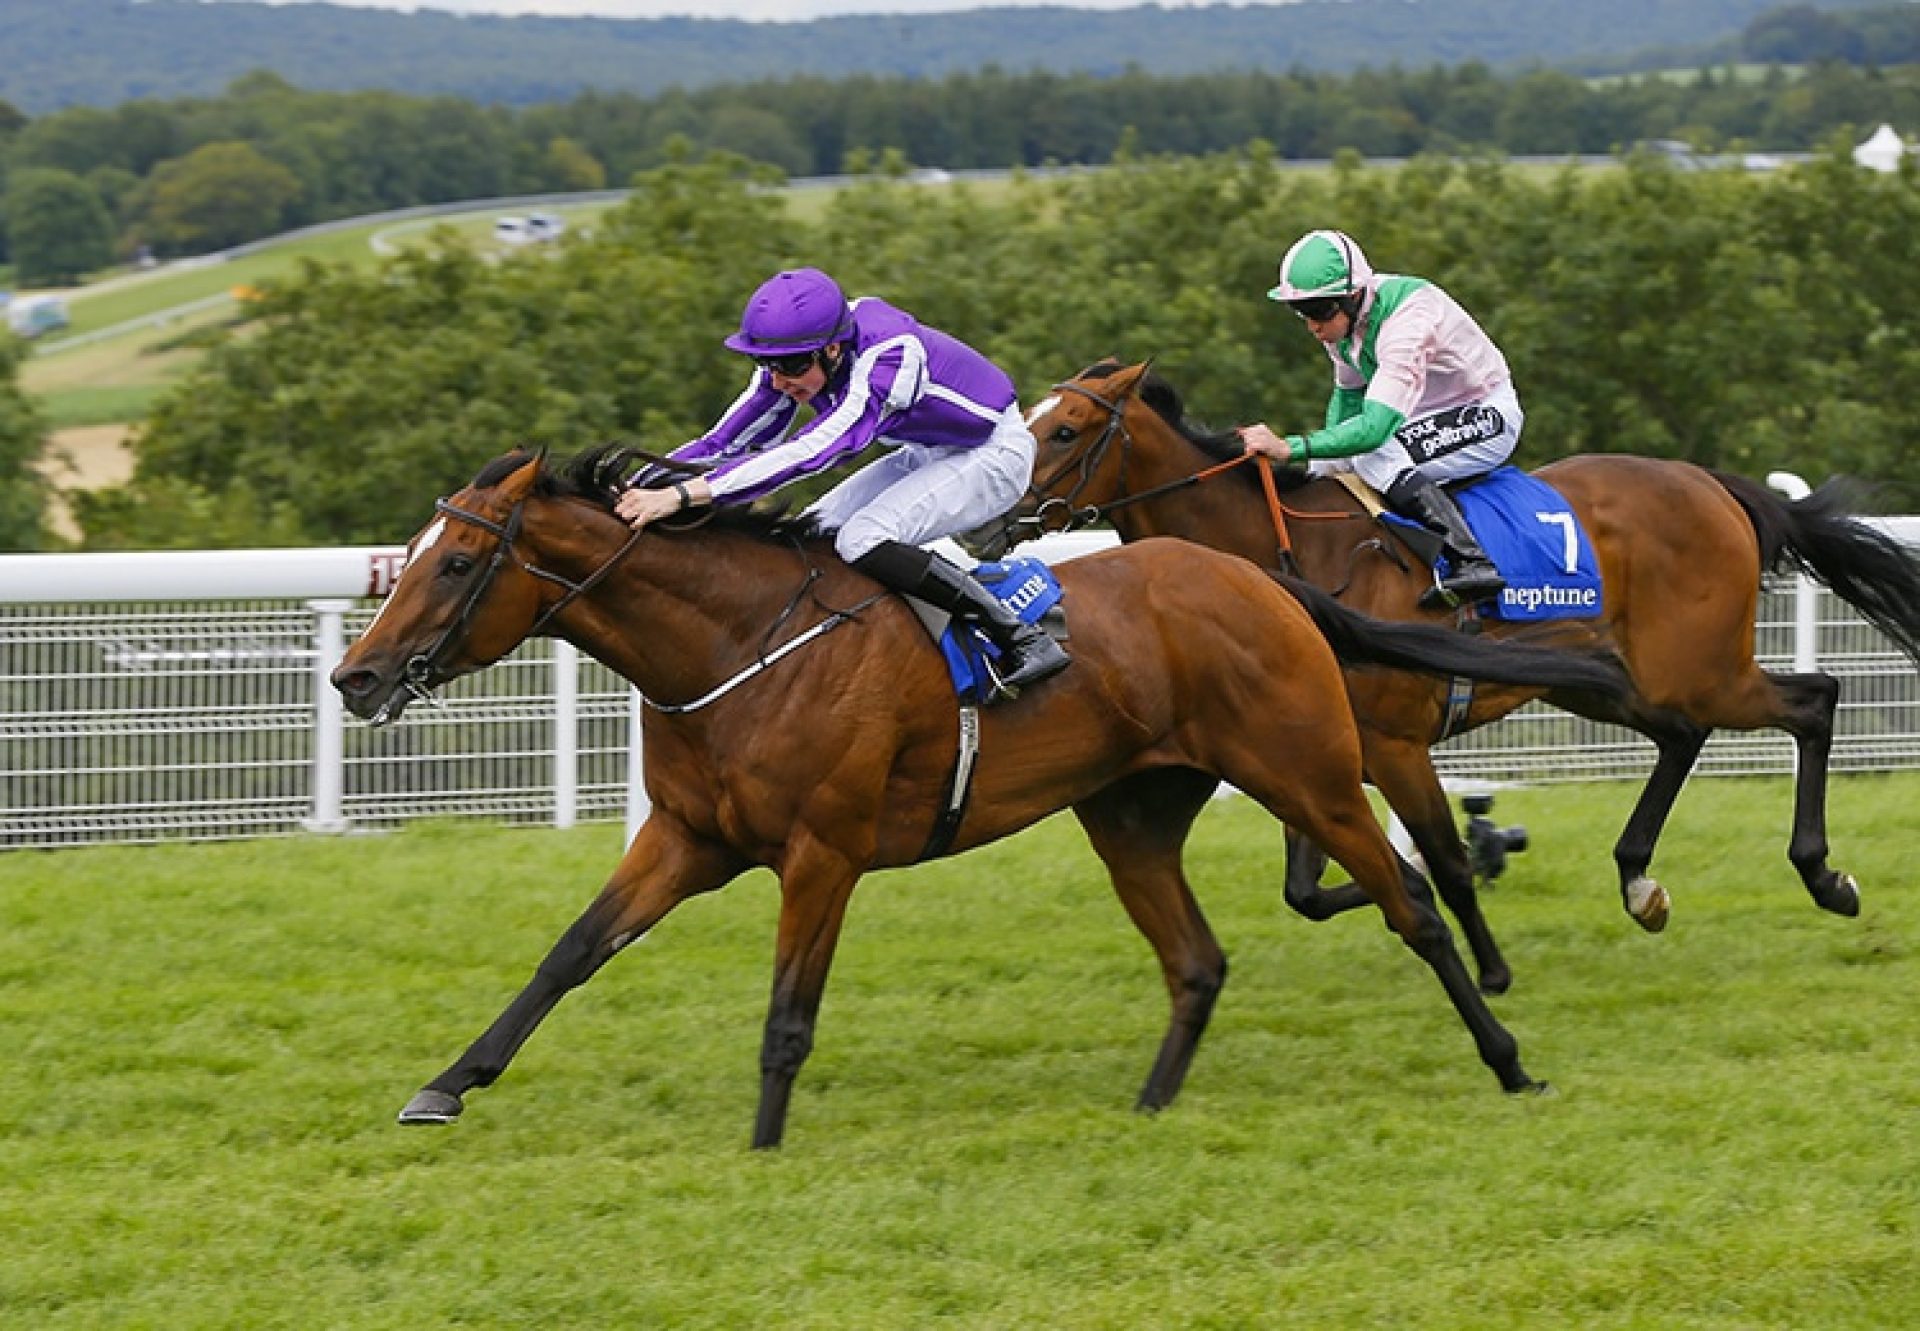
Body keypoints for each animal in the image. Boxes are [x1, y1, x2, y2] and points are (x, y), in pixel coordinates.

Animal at [334, 443, 1635, 1144]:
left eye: (460, 560)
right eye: (415, 553)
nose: (355, 675)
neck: (740, 644)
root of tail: (1261, 582)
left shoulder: (824, 848)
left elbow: (787, 1013)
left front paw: (761, 1145)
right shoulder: (692, 839)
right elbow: (569, 953)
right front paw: (444, 1086)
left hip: (1308, 769)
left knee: (1415, 901)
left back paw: (1509, 1058)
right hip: (1131, 812)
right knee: (1198, 958)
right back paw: (1150, 1104)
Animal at [967, 359, 1920, 991]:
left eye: (1063, 430)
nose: (986, 521)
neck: (1289, 550)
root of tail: (1717, 486)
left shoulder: (1393, 743)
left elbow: (1450, 862)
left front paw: (1489, 967)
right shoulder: (1319, 747)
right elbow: (1309, 889)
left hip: (1699, 666)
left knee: (1814, 700)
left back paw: (1824, 876)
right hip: (1603, 678)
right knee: (1685, 736)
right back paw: (1640, 880)